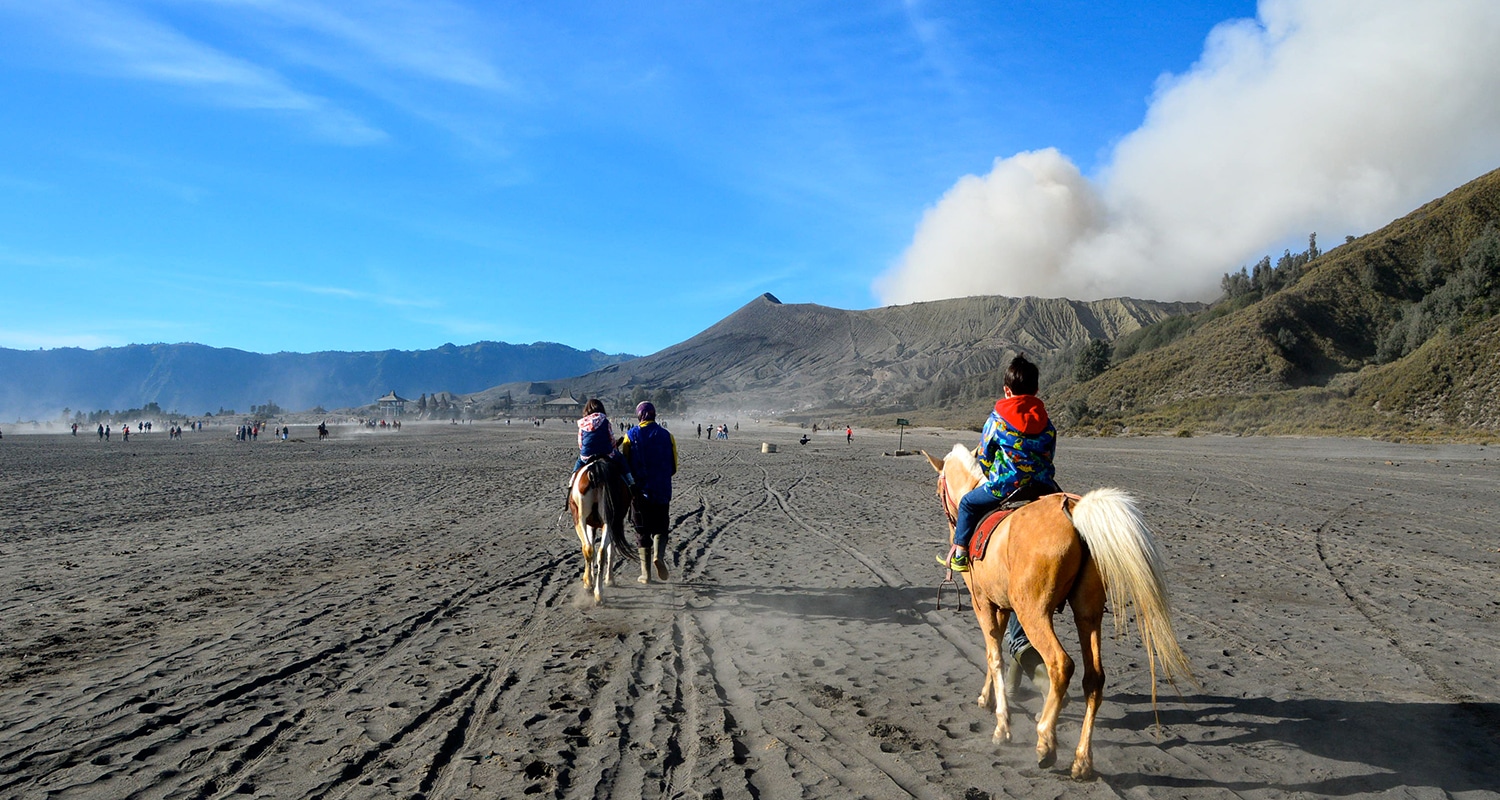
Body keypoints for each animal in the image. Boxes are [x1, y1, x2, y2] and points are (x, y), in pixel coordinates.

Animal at [564, 459, 633, 603]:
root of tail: (594, 471)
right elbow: (607, 550)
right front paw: (609, 579)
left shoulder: (592, 525)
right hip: (607, 522)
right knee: (600, 551)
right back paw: (597, 591)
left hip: (581, 520)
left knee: (591, 549)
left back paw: (593, 588)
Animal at [918, 444, 1188, 780]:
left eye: (938, 488)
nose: (952, 522)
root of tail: (1073, 511)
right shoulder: (1002, 606)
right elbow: (995, 650)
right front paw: (986, 697)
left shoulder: (983, 602)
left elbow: (994, 655)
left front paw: (1002, 726)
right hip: (1088, 613)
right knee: (1094, 678)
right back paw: (1082, 759)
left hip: (1034, 612)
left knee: (1060, 664)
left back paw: (1046, 742)